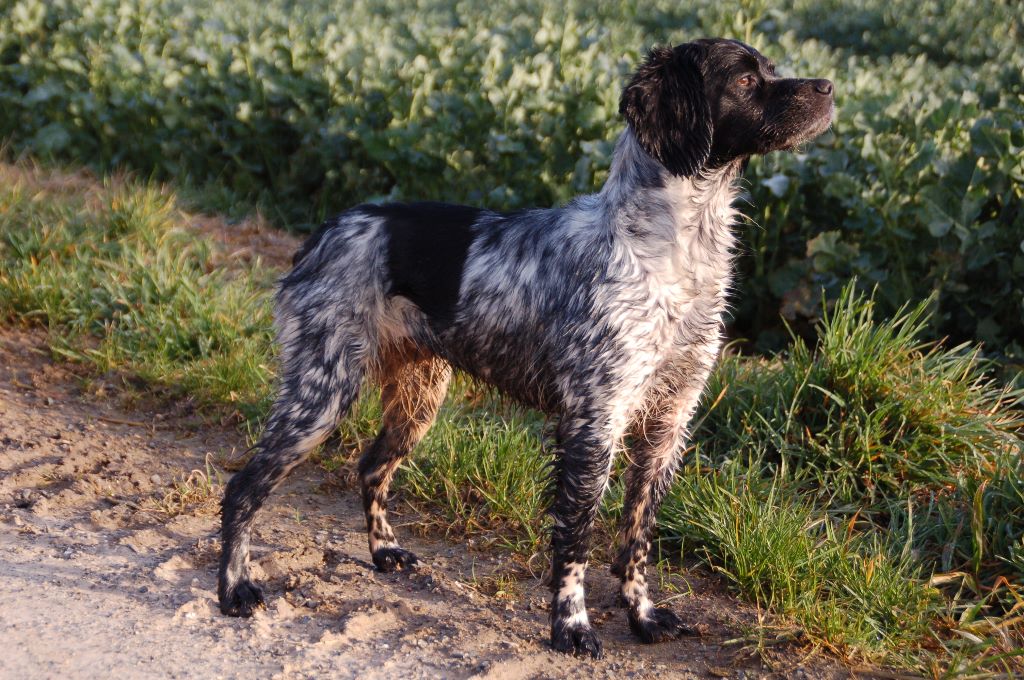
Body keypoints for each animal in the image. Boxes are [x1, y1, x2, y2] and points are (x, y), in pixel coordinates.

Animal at [218, 38, 831, 659]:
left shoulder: (668, 422)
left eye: (772, 69)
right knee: (244, 487)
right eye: (746, 80)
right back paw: (235, 588)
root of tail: (324, 232)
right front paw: (572, 625)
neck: (675, 247)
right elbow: (576, 539)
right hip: (322, 393)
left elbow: (636, 537)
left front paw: (642, 614)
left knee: (370, 468)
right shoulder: (594, 422)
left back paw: (383, 551)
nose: (828, 87)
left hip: (417, 399)